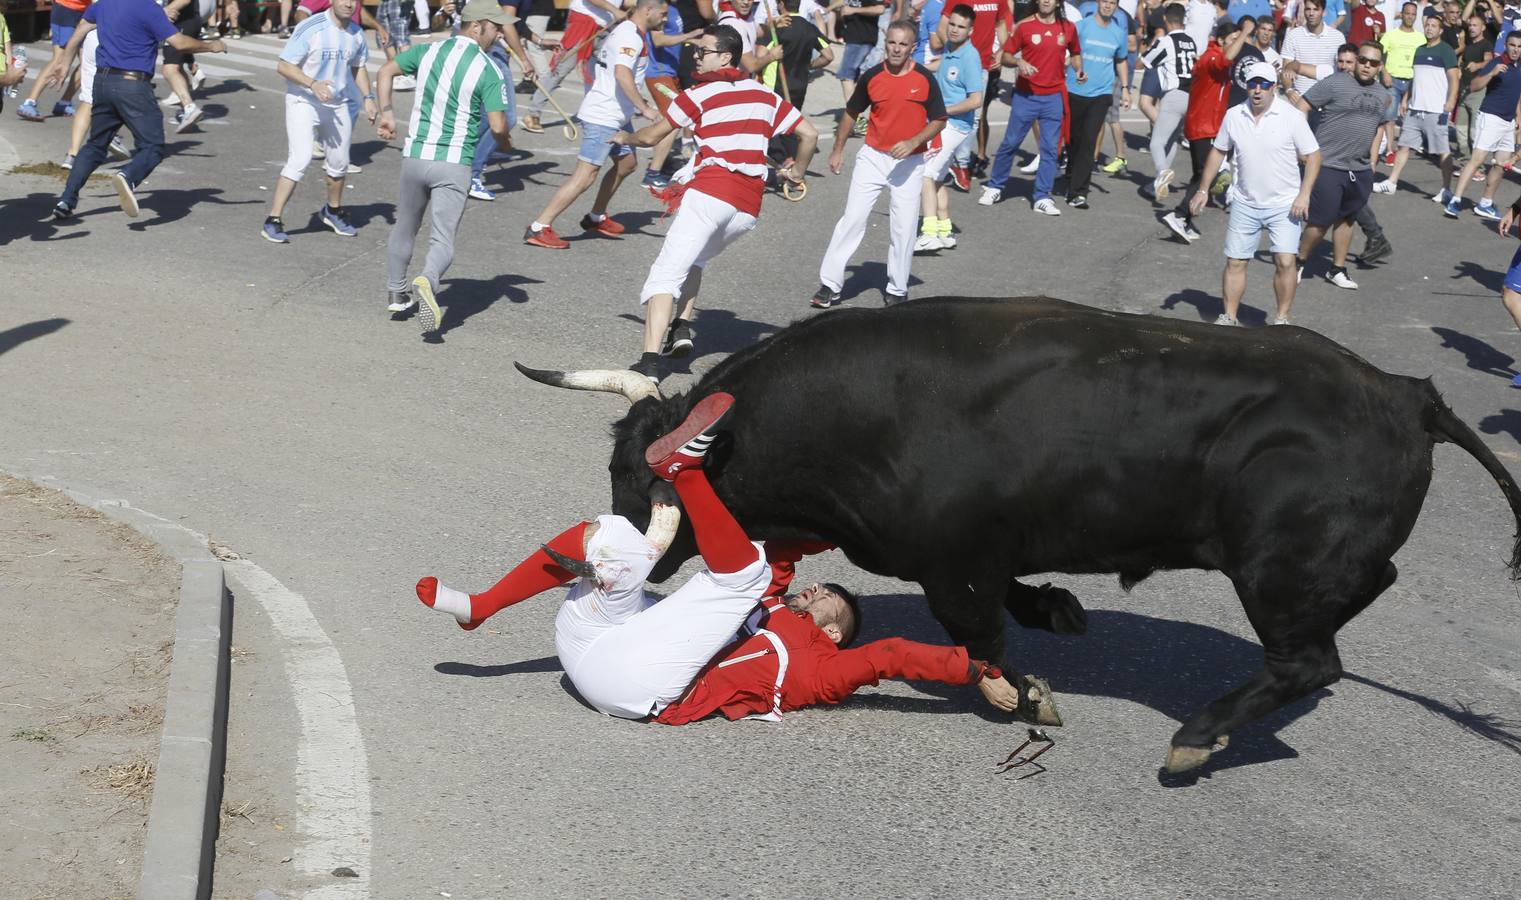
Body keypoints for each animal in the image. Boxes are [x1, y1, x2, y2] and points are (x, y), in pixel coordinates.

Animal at [517, 296, 1514, 772]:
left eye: (641, 478)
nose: (611, 555)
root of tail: (1404, 393)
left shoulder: (951, 561)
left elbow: (976, 631)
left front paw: (1021, 692)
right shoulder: (977, 553)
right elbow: (1014, 605)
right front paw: (1061, 610)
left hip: (1278, 570)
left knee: (1307, 661)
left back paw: (1195, 737)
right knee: (1348, 616)